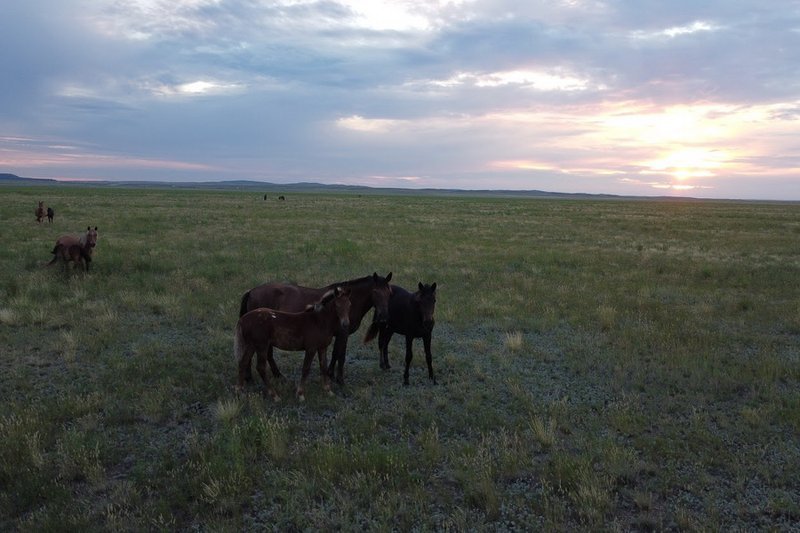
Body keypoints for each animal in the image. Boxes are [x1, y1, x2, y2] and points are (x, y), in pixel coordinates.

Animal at [236, 270, 392, 382]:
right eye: (375, 292)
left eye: (389, 292)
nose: (384, 317)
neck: (347, 301)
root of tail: (251, 291)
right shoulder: (343, 333)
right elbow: (341, 355)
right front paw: (339, 379)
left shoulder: (337, 334)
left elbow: (335, 353)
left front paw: (330, 374)